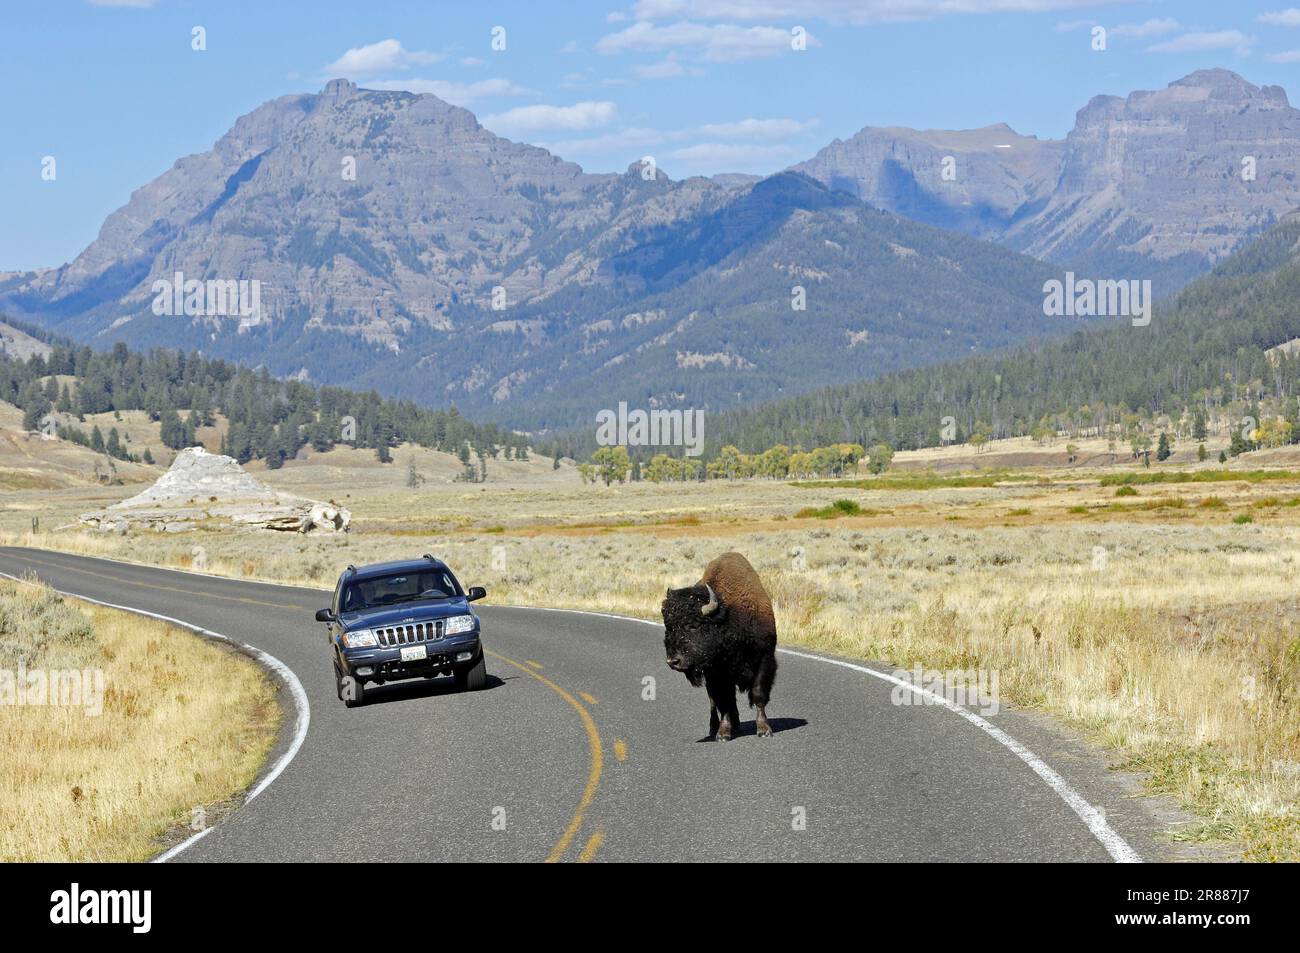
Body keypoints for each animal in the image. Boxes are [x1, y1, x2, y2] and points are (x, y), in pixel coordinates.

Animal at [665, 551, 774, 738]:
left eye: (693, 626)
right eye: (668, 628)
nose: (673, 661)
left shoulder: (765, 658)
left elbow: (758, 693)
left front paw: (764, 729)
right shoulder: (716, 673)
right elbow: (723, 701)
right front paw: (723, 733)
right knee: (714, 702)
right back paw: (714, 727)